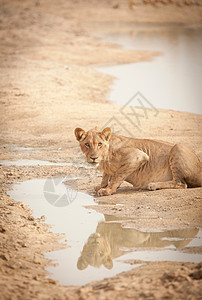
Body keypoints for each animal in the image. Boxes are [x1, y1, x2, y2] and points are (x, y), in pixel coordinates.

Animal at [74, 125, 202, 196]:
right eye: (87, 144)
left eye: (99, 144)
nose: (93, 157)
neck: (105, 156)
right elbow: (106, 175)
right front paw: (102, 186)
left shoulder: (138, 156)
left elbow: (117, 175)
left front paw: (108, 190)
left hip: (177, 147)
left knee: (181, 183)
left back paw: (153, 185)